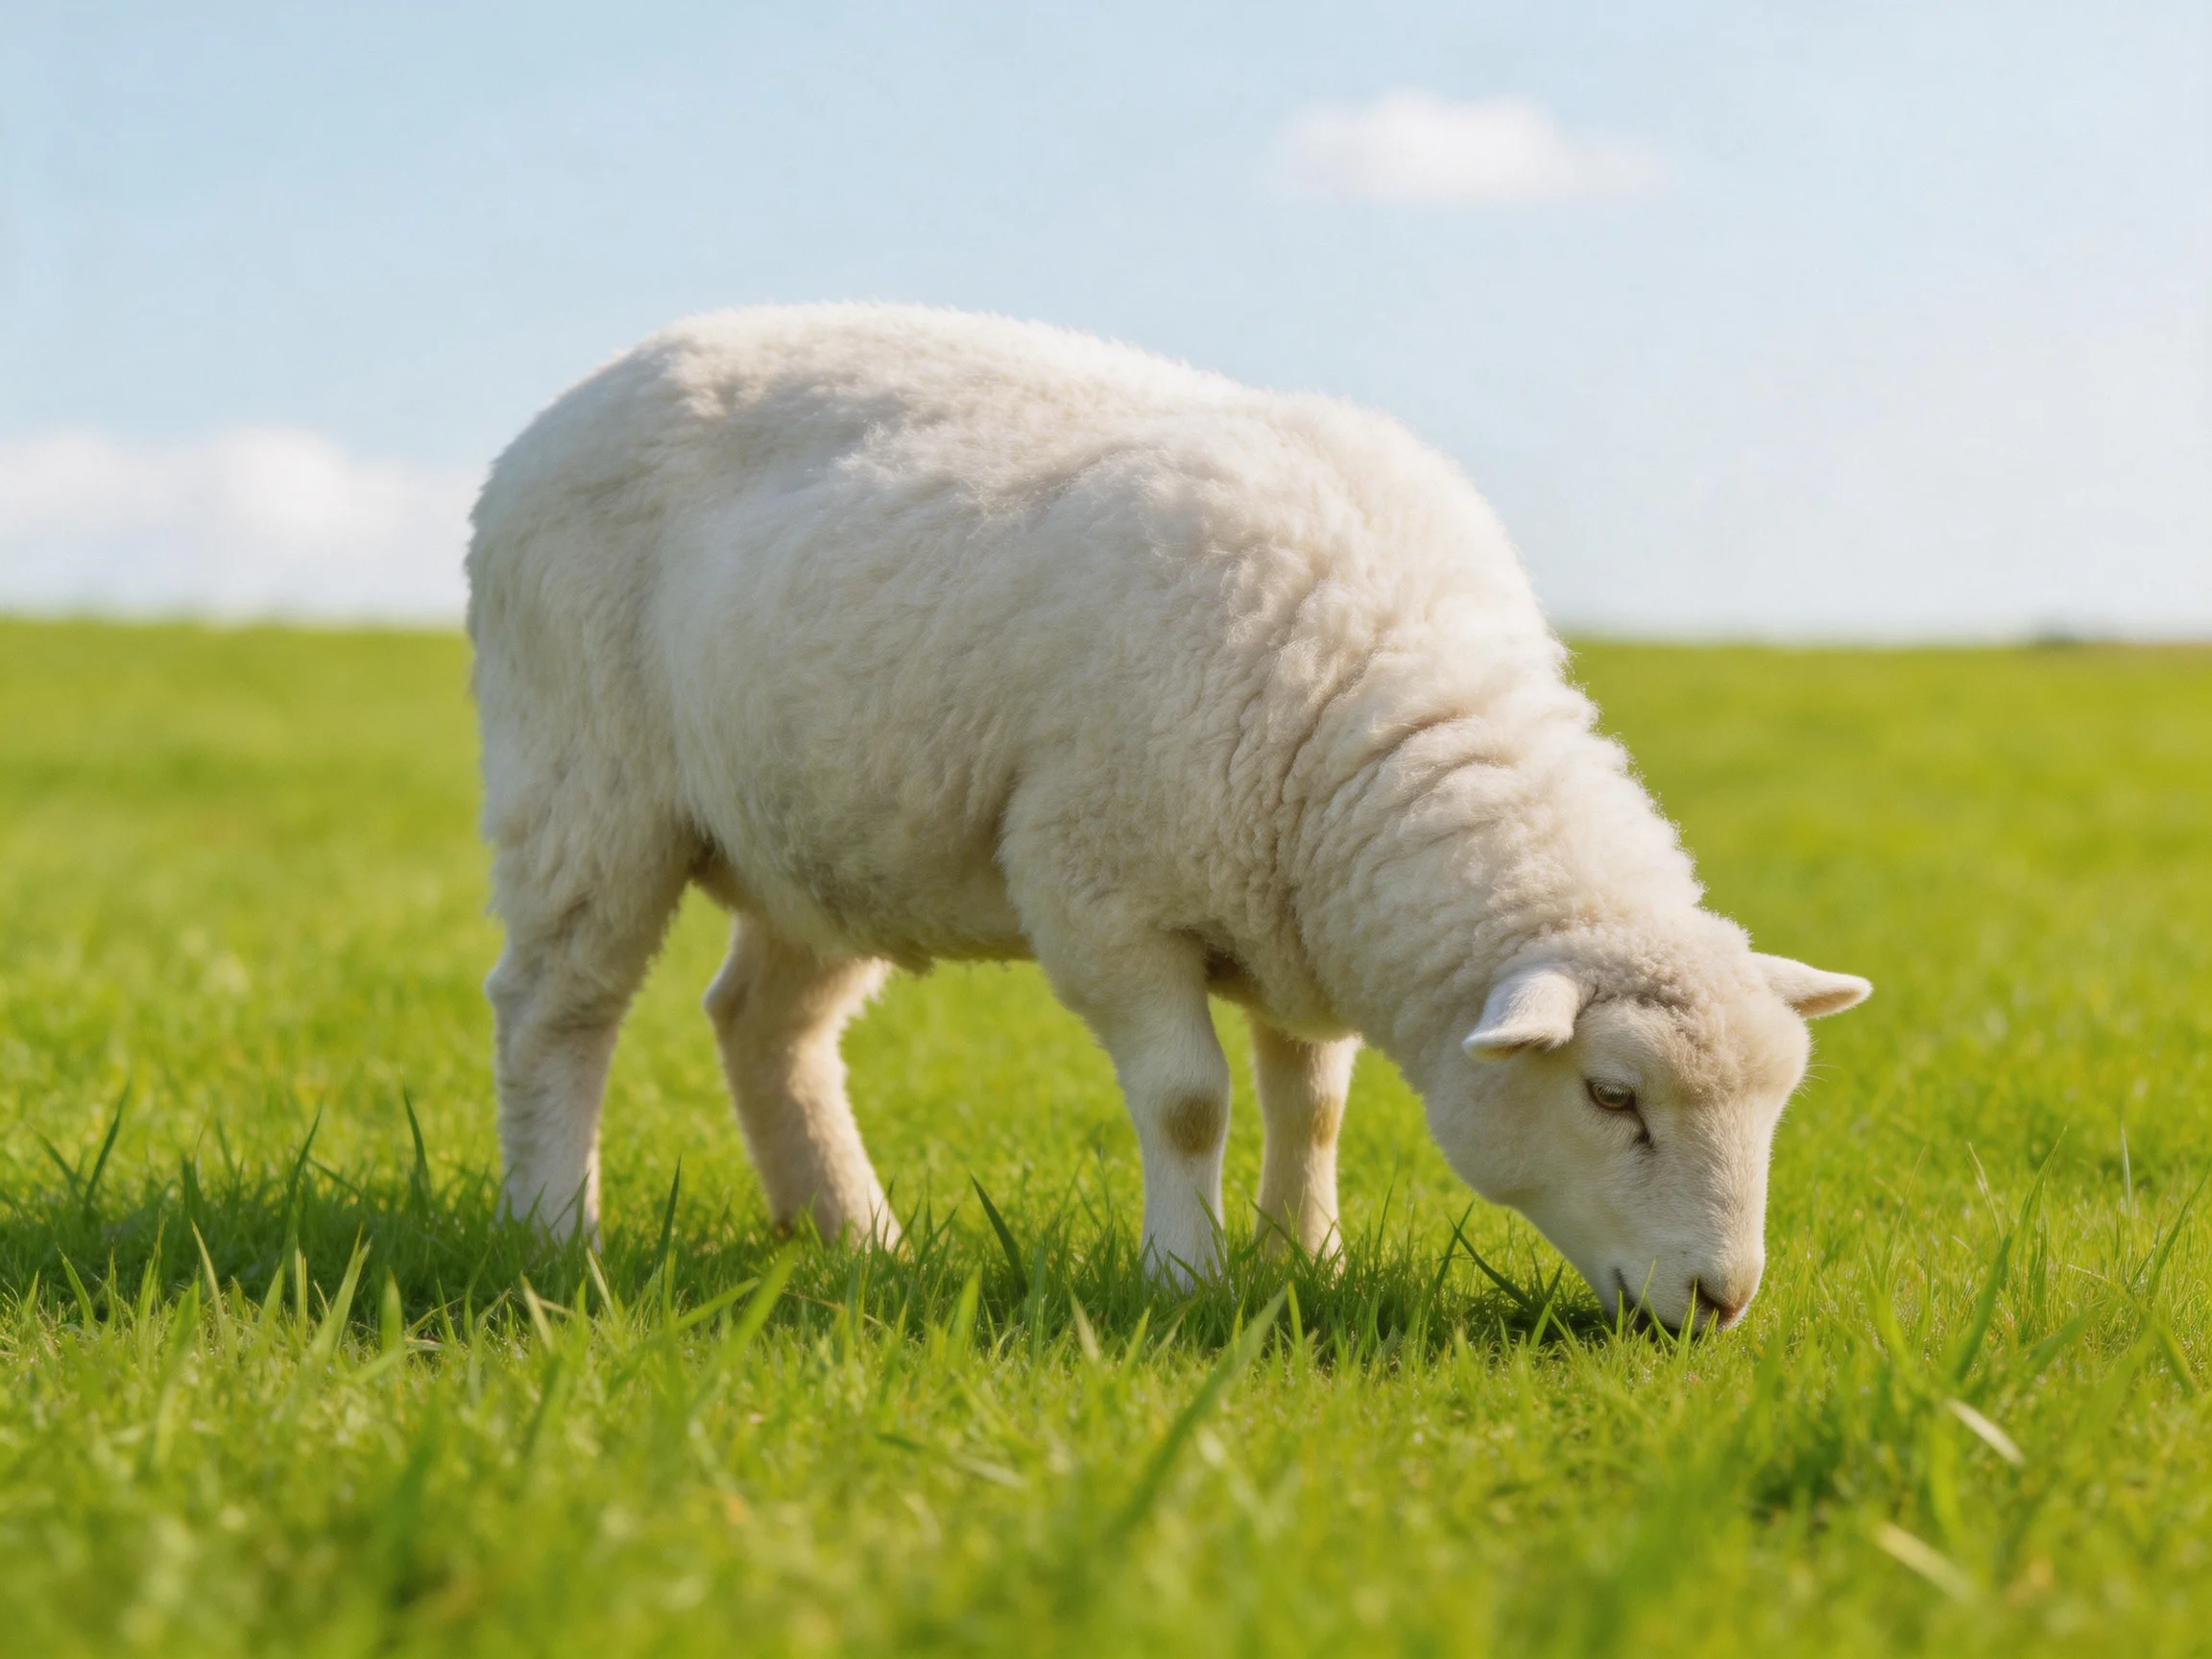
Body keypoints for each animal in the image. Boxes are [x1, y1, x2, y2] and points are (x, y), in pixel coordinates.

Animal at [466, 303, 1870, 1332]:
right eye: (1612, 1096)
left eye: (1778, 1105)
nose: (1722, 1301)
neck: (1373, 683)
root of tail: (575, 396)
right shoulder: (1102, 892)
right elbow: (1192, 1101)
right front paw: (1187, 1280)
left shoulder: (1295, 913)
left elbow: (1314, 1101)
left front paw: (1308, 1260)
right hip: (582, 777)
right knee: (556, 1010)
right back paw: (556, 1238)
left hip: (826, 830)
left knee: (765, 1026)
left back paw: (856, 1238)